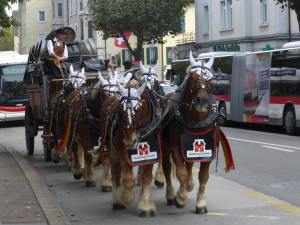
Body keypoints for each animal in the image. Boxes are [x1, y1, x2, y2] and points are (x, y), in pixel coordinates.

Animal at [162, 51, 234, 214]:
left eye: (210, 79)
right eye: (192, 77)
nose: (202, 100)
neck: (196, 121)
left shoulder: (208, 150)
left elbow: (203, 176)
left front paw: (200, 202)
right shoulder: (175, 148)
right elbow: (181, 173)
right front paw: (180, 198)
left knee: (188, 165)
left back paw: (189, 185)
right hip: (165, 147)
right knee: (167, 168)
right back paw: (171, 195)